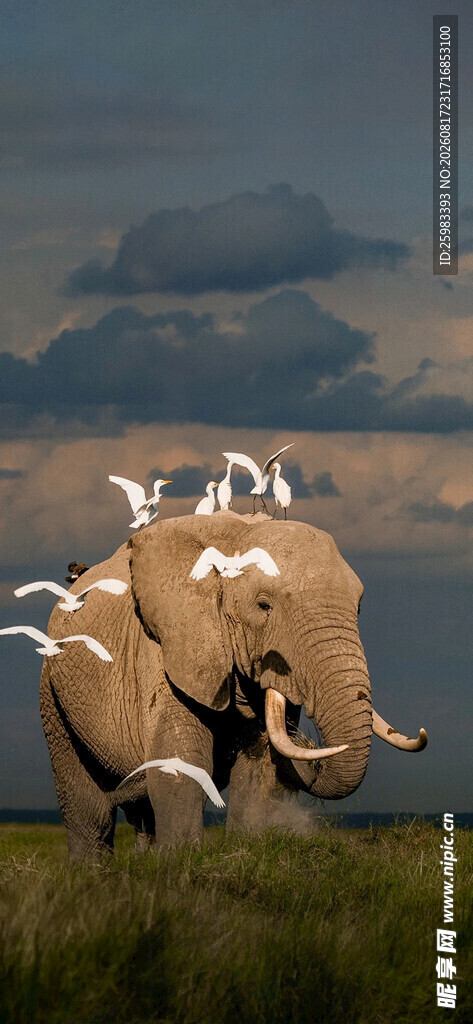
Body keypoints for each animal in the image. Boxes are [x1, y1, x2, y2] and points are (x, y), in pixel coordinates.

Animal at [39, 510, 427, 860]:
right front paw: (180, 864)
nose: (308, 743)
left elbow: (258, 771)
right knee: (89, 810)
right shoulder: (166, 649)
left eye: (358, 608)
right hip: (53, 693)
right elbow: (181, 764)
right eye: (264, 606)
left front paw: (245, 853)